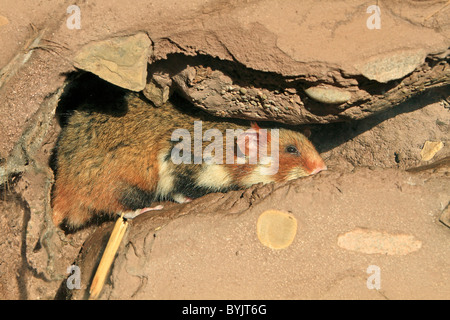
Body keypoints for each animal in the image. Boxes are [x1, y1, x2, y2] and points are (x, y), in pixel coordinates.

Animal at [51, 91, 326, 229]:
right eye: (291, 149)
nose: (323, 168)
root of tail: (61, 192)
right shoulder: (180, 166)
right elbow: (180, 191)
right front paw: (190, 200)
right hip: (131, 184)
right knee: (121, 209)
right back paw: (150, 208)